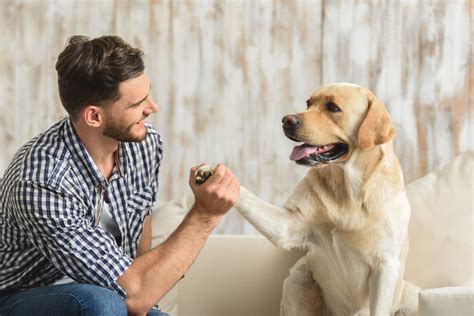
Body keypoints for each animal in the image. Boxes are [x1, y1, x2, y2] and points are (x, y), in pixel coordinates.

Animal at [196, 82, 418, 314]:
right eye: (308, 103)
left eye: (333, 107)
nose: (286, 120)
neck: (348, 190)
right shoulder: (288, 224)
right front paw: (211, 173)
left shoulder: (385, 265)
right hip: (297, 278)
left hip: (411, 295)